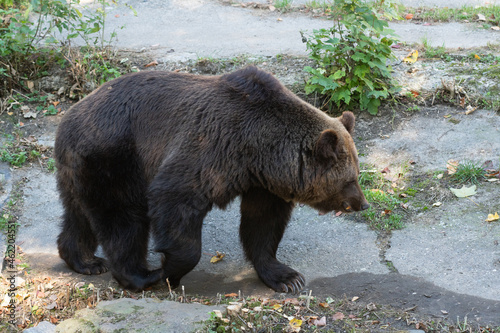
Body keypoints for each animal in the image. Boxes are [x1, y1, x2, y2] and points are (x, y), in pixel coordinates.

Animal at [54, 65, 370, 294]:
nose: (362, 203)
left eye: (357, 174)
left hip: (80, 167)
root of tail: (68, 116)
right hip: (115, 157)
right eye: (350, 179)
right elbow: (175, 201)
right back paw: (141, 274)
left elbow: (263, 224)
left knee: (79, 213)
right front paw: (170, 270)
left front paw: (287, 277)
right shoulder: (211, 148)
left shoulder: (262, 183)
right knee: (123, 218)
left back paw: (85, 261)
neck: (260, 151)